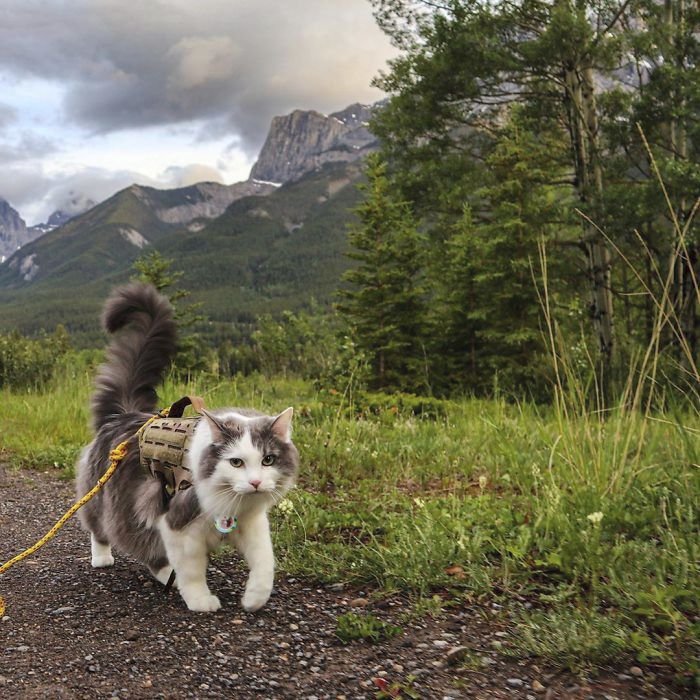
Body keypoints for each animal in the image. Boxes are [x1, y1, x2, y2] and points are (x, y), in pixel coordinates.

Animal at [74, 284, 298, 612]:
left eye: (268, 460)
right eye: (236, 462)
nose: (256, 482)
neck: (232, 504)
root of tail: (124, 415)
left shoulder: (252, 524)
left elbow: (264, 564)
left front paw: (254, 599)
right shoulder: (178, 523)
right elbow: (192, 570)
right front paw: (201, 600)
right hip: (122, 504)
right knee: (107, 532)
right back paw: (107, 559)